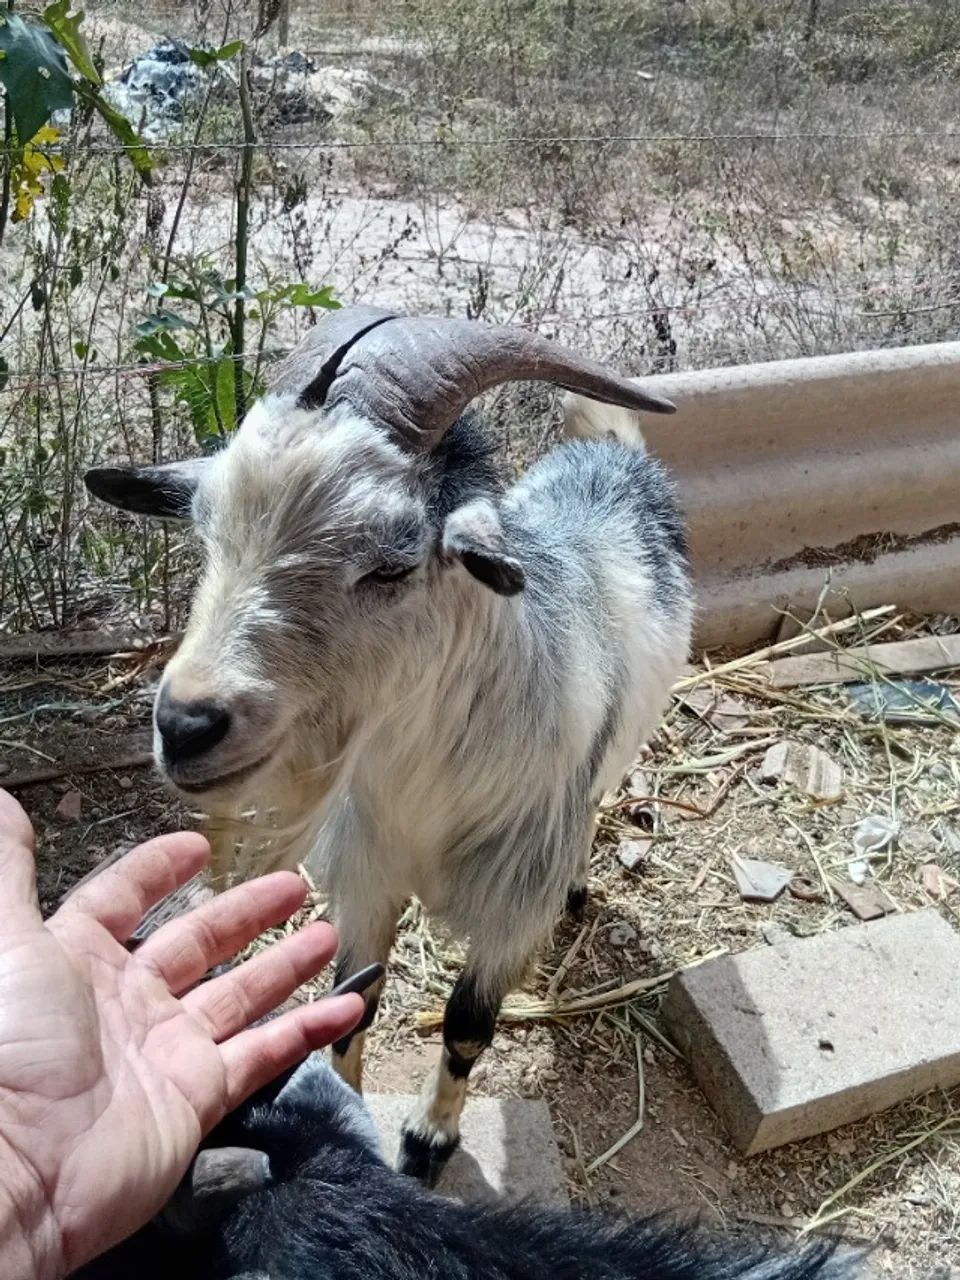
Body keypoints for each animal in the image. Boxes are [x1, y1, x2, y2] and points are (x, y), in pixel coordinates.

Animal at [85, 306, 693, 1184]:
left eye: (393, 564)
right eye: (206, 535)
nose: (187, 724)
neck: (425, 795)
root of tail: (612, 454)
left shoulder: (509, 901)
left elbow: (467, 1024)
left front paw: (428, 1141)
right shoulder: (367, 875)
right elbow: (352, 1004)